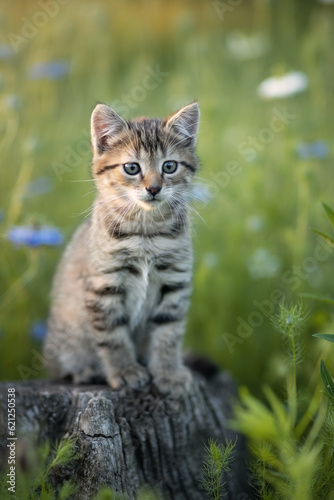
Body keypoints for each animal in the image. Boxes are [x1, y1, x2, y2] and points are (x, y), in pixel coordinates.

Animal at [44, 102, 201, 398]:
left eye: (169, 166)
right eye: (131, 168)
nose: (154, 188)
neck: (146, 232)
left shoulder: (174, 282)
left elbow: (169, 334)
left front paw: (169, 373)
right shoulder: (103, 285)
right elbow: (112, 336)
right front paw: (125, 370)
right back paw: (86, 370)